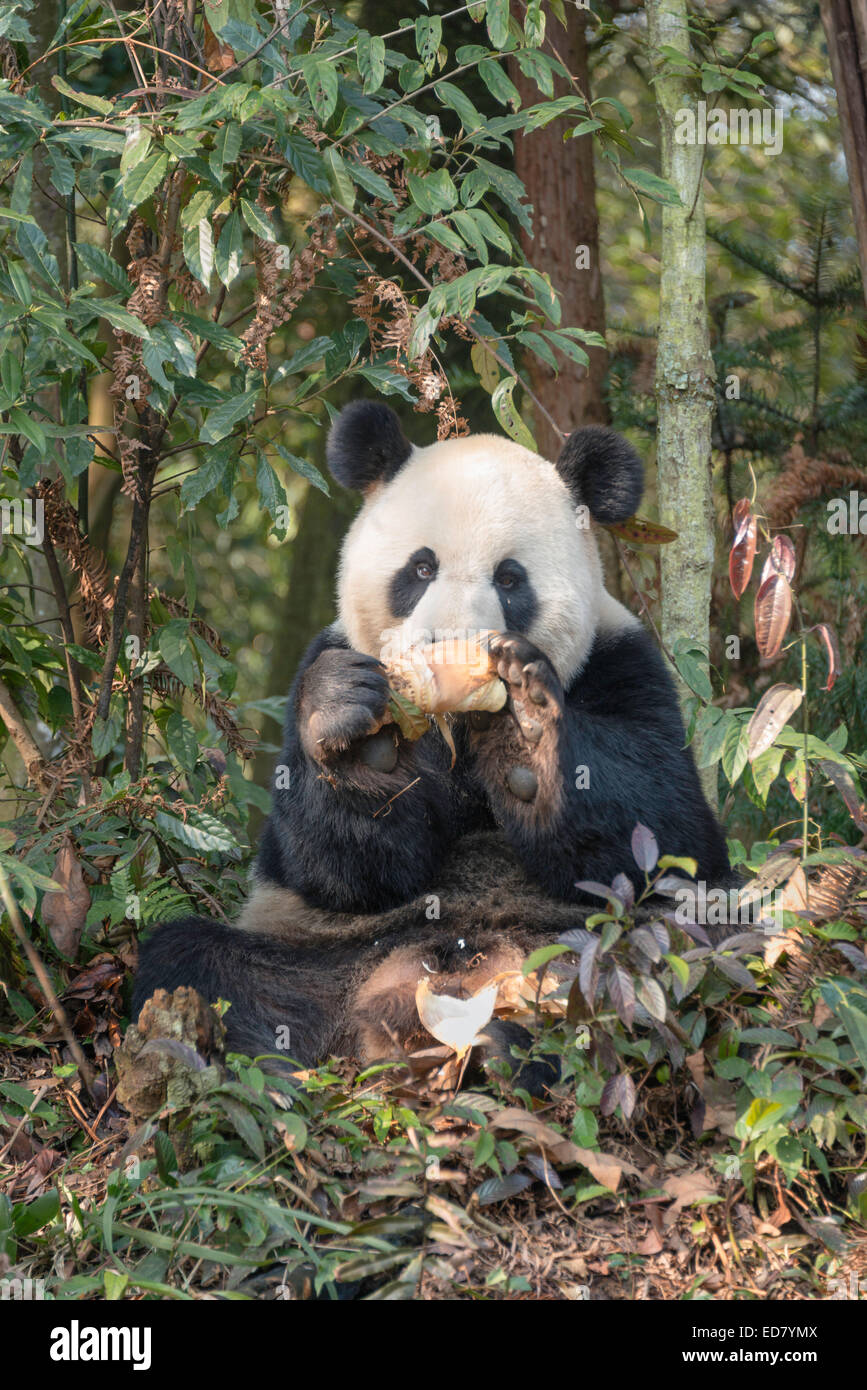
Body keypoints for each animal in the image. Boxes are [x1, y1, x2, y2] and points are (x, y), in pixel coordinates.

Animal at [135, 400, 728, 1073]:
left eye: (510, 579)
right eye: (421, 568)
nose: (450, 644)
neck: (459, 730)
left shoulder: (627, 666)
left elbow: (668, 826)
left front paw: (525, 730)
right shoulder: (324, 658)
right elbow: (333, 867)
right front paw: (360, 743)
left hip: (579, 949)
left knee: (678, 948)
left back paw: (510, 1050)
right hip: (323, 955)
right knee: (205, 966)